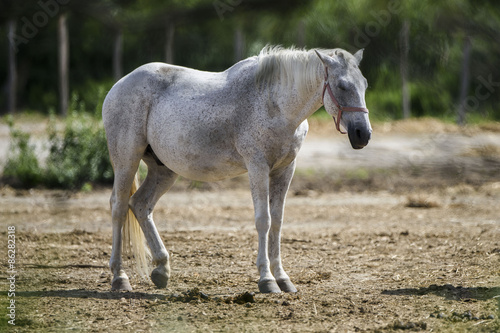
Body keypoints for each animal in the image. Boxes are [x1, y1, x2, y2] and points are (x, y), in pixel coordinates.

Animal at [102, 45, 372, 292]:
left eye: (364, 84)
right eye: (342, 86)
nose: (363, 134)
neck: (274, 103)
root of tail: (118, 86)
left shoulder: (285, 170)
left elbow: (277, 222)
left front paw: (283, 278)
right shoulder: (257, 167)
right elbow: (263, 220)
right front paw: (267, 280)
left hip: (164, 170)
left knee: (140, 205)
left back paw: (161, 270)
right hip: (127, 159)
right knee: (118, 207)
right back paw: (120, 278)